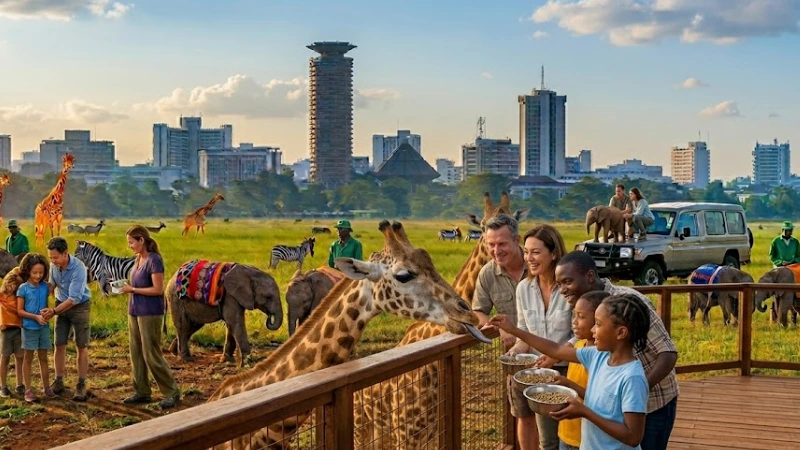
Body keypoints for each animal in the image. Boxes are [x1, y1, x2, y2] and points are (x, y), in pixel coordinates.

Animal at [355, 191, 529, 449]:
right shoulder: (408, 435)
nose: (494, 248)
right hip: (363, 429)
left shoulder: (432, 431)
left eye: (515, 221)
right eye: (483, 225)